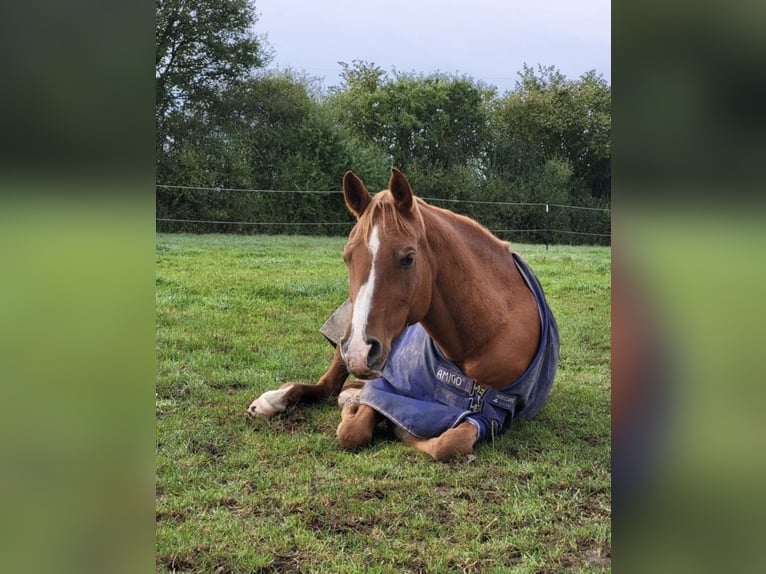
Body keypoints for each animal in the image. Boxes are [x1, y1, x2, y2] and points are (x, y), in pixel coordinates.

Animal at [247, 169, 559, 461]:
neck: (488, 331)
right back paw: (273, 400)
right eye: (347, 257)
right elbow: (353, 431)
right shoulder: (385, 390)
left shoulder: (493, 415)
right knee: (327, 386)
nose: (361, 349)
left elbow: (450, 443)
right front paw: (364, 413)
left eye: (408, 258)